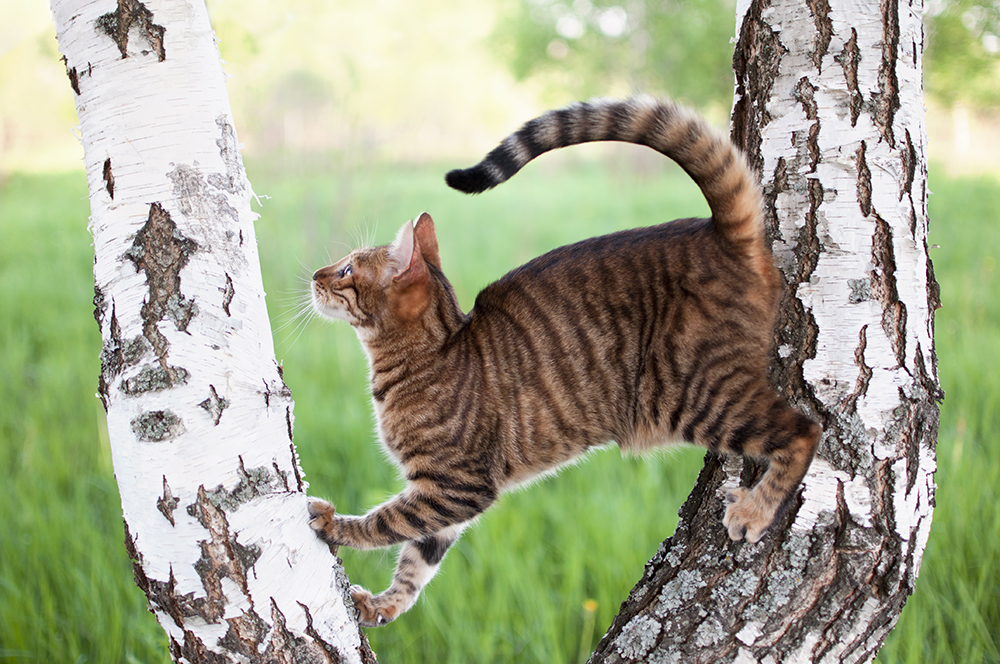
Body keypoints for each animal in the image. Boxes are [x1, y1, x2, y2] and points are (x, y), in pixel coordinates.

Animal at [306, 96, 820, 624]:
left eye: (346, 270)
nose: (314, 275)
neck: (432, 352)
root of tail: (718, 233)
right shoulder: (445, 497)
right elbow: (417, 559)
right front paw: (384, 604)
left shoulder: (456, 483)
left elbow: (387, 522)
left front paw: (335, 525)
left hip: (697, 393)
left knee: (804, 428)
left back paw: (755, 510)